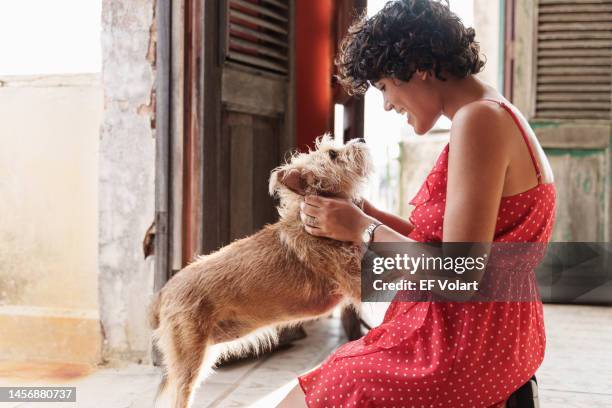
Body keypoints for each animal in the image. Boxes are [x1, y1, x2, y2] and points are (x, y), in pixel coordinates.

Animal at [147, 135, 372, 408]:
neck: (307, 223)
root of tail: (164, 292)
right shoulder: (355, 280)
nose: (361, 139)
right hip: (188, 361)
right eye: (332, 154)